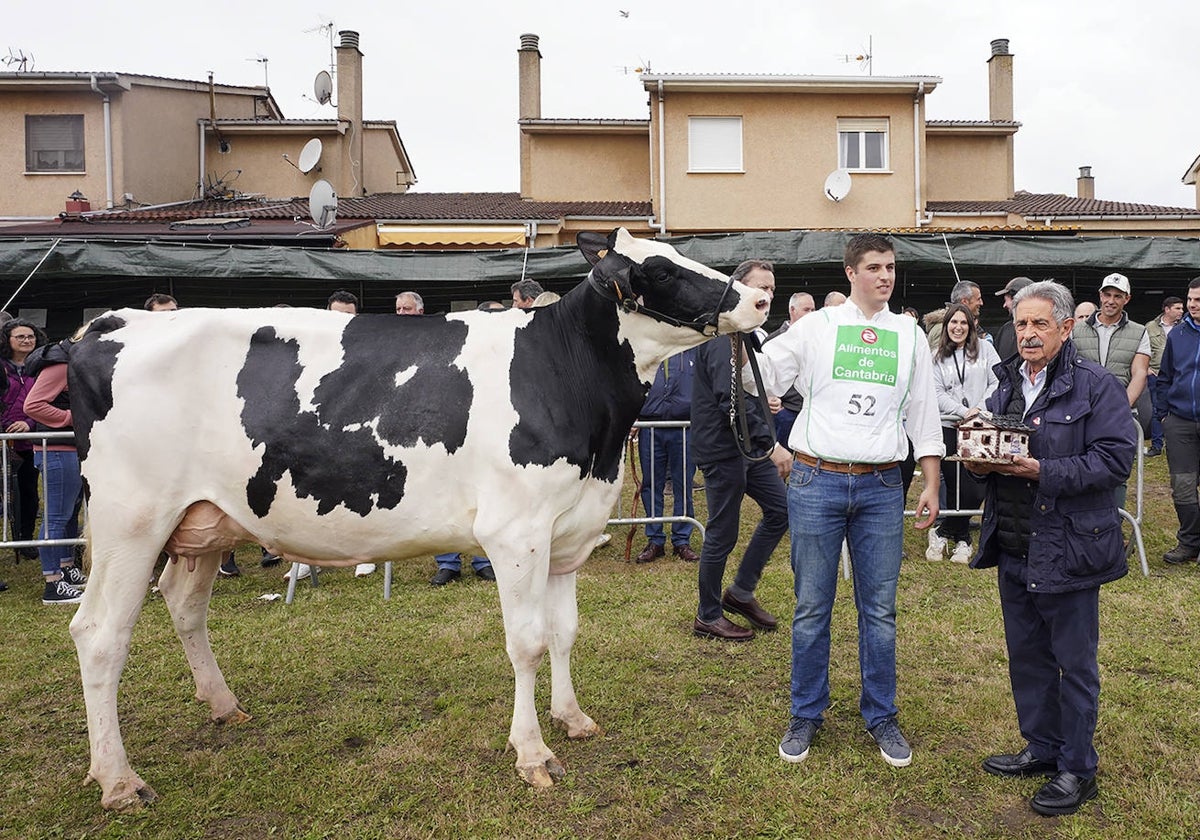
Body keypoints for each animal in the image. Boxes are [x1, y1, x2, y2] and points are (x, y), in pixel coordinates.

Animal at [68, 226, 768, 811]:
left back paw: (223, 706)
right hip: (131, 519)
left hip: (204, 519)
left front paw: (572, 720)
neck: (567, 378)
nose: (760, 300)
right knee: (99, 633)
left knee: (184, 605)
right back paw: (118, 780)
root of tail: (110, 323)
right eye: (661, 270)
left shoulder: (568, 534)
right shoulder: (515, 535)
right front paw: (533, 753)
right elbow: (527, 642)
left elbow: (565, 633)